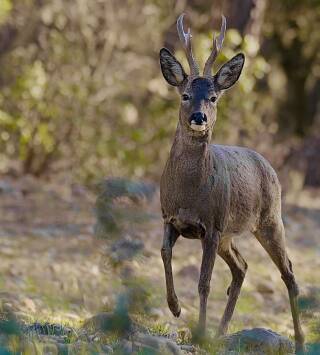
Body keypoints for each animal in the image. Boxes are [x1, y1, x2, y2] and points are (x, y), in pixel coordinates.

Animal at [160, 13, 304, 354]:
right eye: (185, 95)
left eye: (213, 97)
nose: (199, 117)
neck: (188, 193)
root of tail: (267, 164)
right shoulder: (169, 217)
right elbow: (164, 253)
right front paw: (175, 307)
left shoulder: (212, 226)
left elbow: (204, 283)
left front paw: (198, 331)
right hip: (231, 234)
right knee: (242, 268)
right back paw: (222, 330)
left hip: (269, 219)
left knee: (289, 274)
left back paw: (300, 342)